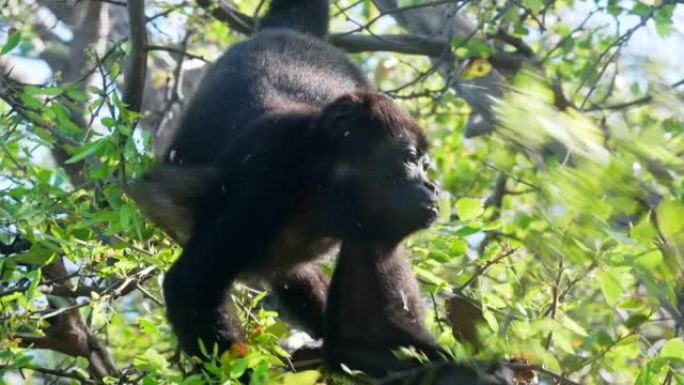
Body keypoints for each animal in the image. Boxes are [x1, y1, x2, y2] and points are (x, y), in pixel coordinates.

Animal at [132, 0, 438, 360]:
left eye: (425, 165)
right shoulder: (269, 170)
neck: (319, 181)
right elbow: (191, 284)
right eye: (409, 158)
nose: (432, 187)